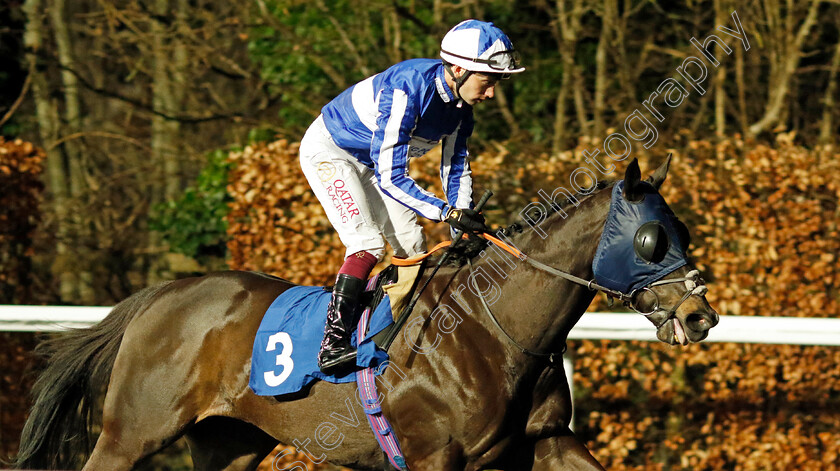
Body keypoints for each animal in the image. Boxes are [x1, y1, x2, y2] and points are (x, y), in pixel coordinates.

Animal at [14, 160, 716, 470]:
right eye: (651, 239)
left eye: (683, 229)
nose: (701, 314)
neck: (495, 331)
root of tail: (158, 297)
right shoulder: (436, 458)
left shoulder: (542, 441)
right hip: (131, 433)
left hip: (230, 441)